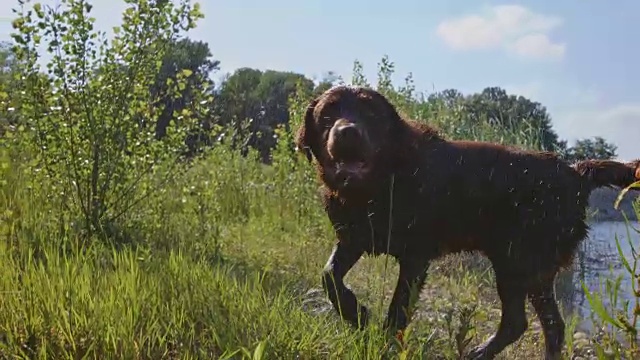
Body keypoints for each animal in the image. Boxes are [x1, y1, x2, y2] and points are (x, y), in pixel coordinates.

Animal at [296, 85, 640, 360]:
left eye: (371, 113)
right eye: (327, 114)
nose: (347, 132)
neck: (382, 182)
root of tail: (575, 172)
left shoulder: (415, 257)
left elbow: (397, 312)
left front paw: (385, 344)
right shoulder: (353, 239)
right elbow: (329, 276)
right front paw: (356, 314)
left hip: (518, 260)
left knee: (524, 322)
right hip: (527, 267)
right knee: (545, 325)